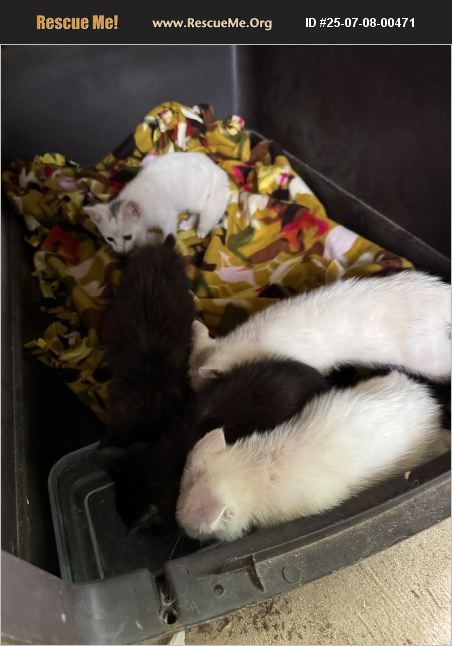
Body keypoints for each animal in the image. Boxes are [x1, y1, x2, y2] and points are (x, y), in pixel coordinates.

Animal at [84, 152, 229, 253]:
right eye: (109, 239)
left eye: (127, 237)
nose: (121, 251)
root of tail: (215, 168)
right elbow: (142, 240)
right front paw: (152, 238)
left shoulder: (167, 215)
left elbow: (166, 233)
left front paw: (160, 240)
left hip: (196, 196)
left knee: (200, 211)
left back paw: (192, 226)